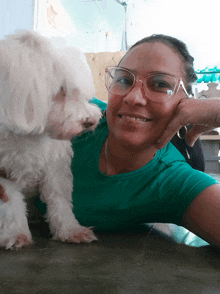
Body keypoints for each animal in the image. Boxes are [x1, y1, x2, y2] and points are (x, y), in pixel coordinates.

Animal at [0, 31, 102, 249]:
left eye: (77, 90)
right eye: (61, 90)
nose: (89, 121)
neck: (29, 137)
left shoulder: (55, 166)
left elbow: (60, 199)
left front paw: (71, 230)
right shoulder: (3, 173)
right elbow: (11, 203)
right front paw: (16, 234)